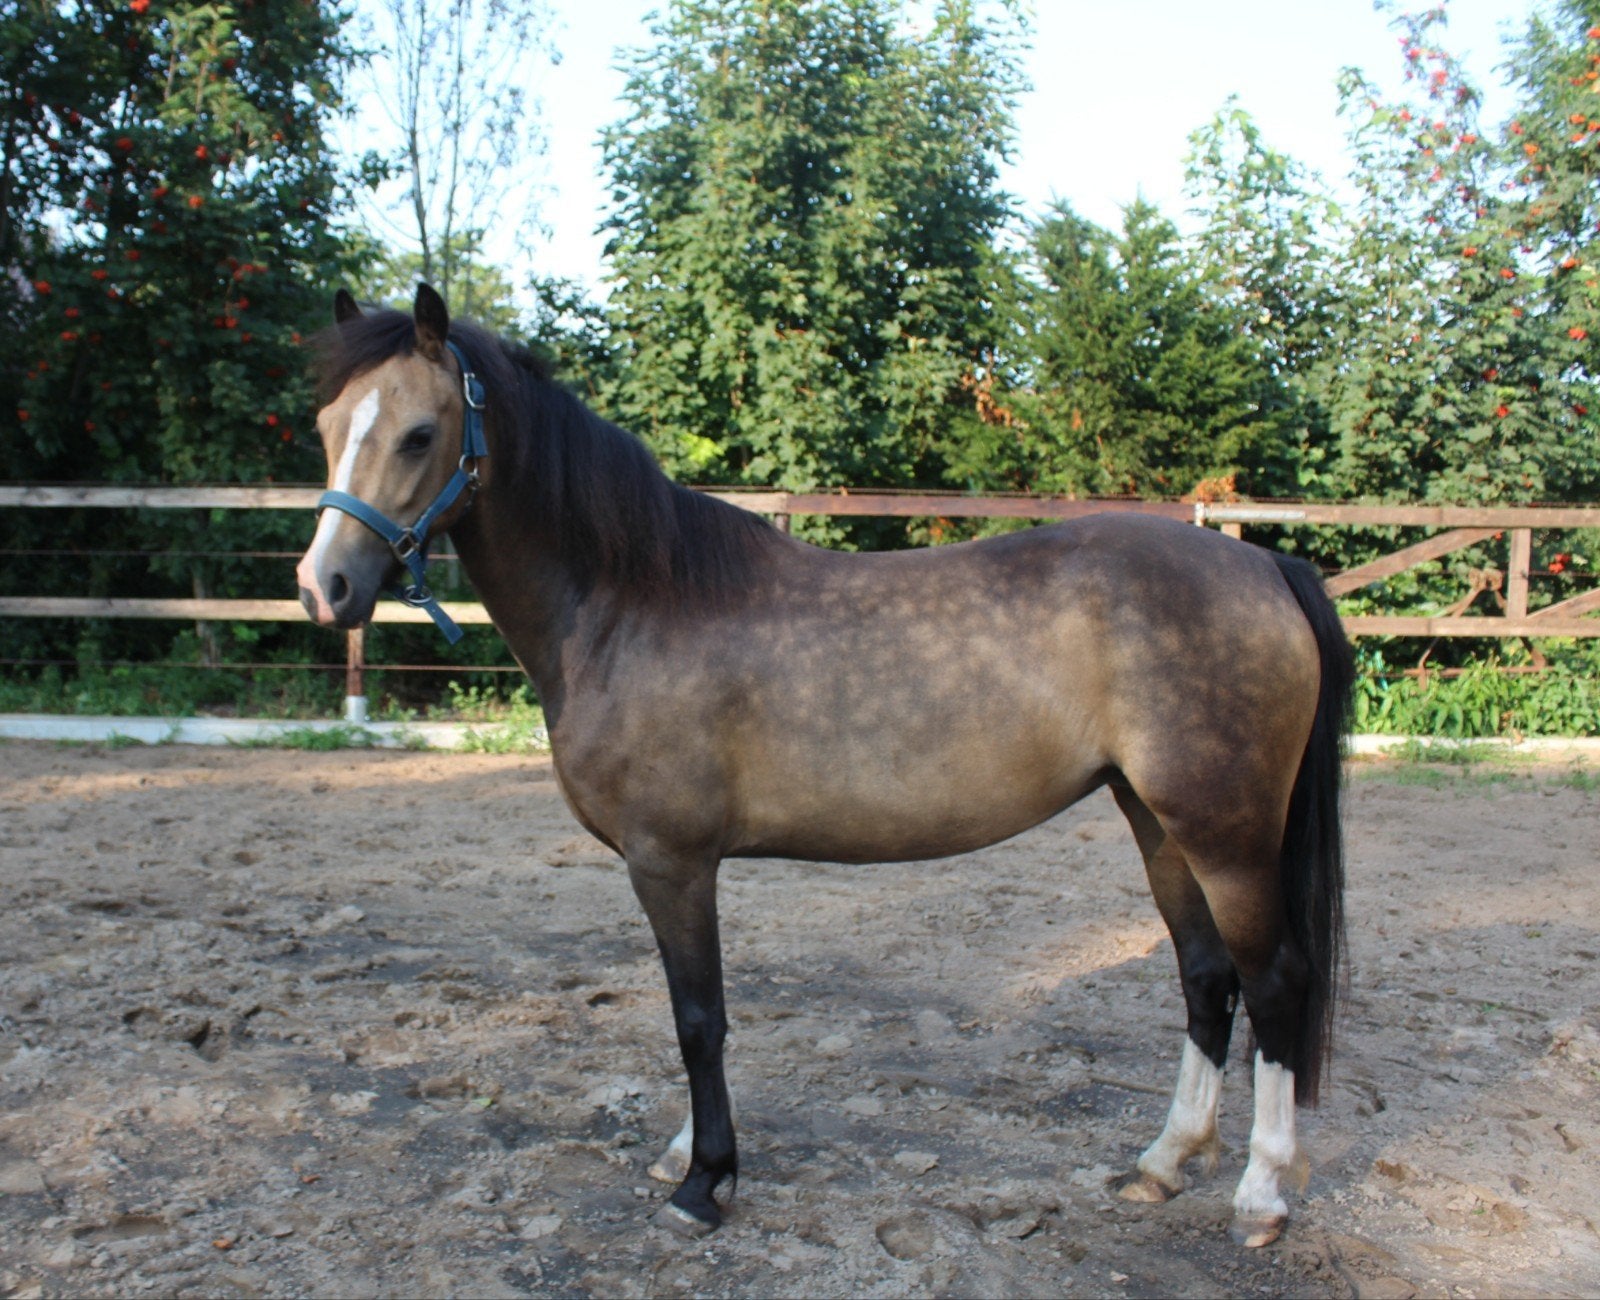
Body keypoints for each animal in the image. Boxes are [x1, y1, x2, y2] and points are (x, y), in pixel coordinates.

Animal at [296, 284, 1354, 1249]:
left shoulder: (671, 862)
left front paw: (705, 1182)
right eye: (327, 428)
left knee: (1273, 980)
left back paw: (1261, 1195)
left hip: (1225, 831)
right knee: (1207, 978)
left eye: (420, 434)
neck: (632, 602)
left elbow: (698, 1017)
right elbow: (698, 1013)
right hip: (1156, 818)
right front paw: (686, 1153)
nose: (324, 587)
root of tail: (1266, 568)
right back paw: (1164, 1163)